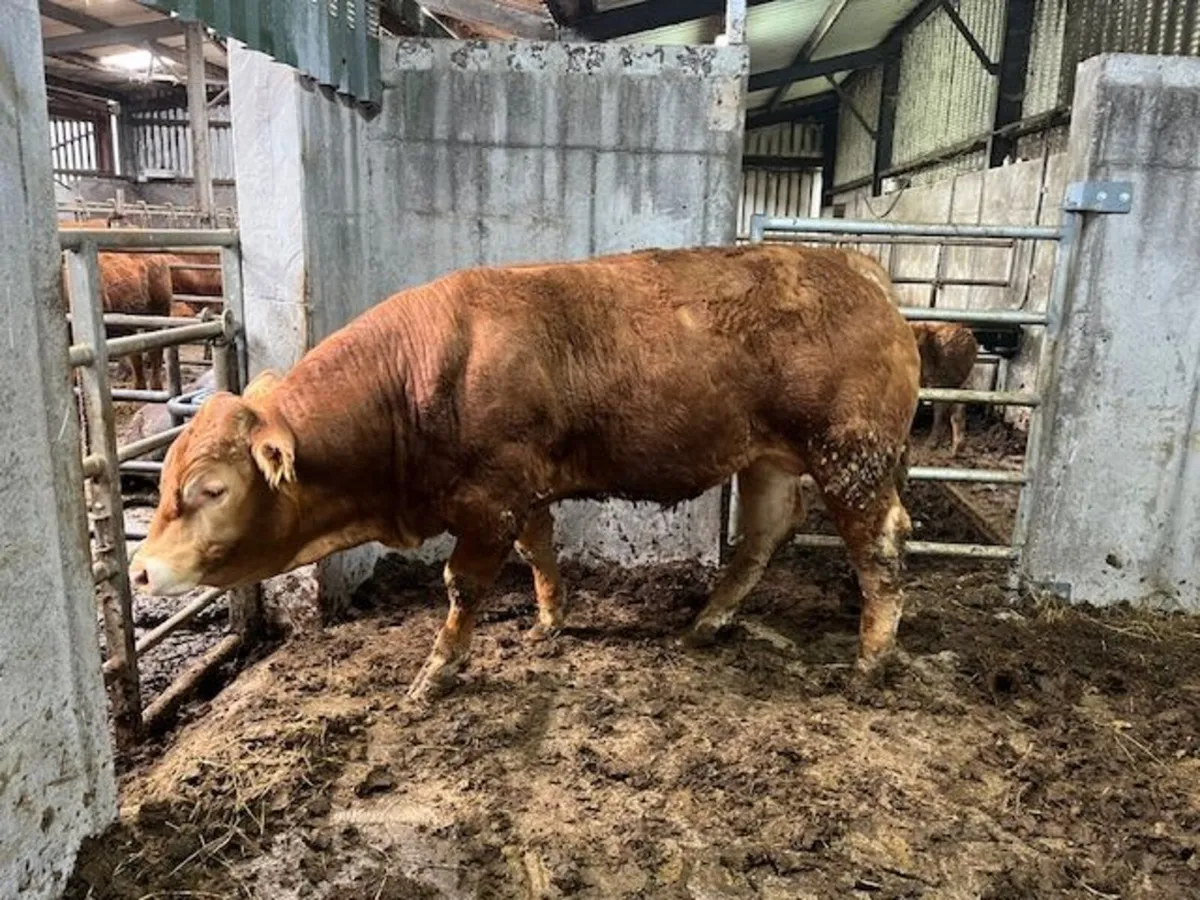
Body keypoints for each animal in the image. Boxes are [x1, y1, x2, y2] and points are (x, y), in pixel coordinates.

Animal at [130, 244, 922, 702]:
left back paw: (871, 659)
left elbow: (464, 585)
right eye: (164, 482)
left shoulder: (487, 501)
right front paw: (550, 619)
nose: (139, 569)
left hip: (850, 455)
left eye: (210, 490)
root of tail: (859, 268)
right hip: (767, 459)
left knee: (879, 542)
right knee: (763, 536)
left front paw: (437, 672)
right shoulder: (524, 490)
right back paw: (706, 623)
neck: (419, 377)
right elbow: (540, 550)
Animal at [910, 321, 980, 456]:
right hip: (957, 383)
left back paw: (930, 445)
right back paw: (957, 449)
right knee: (959, 407)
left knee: (940, 409)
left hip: (941, 382)